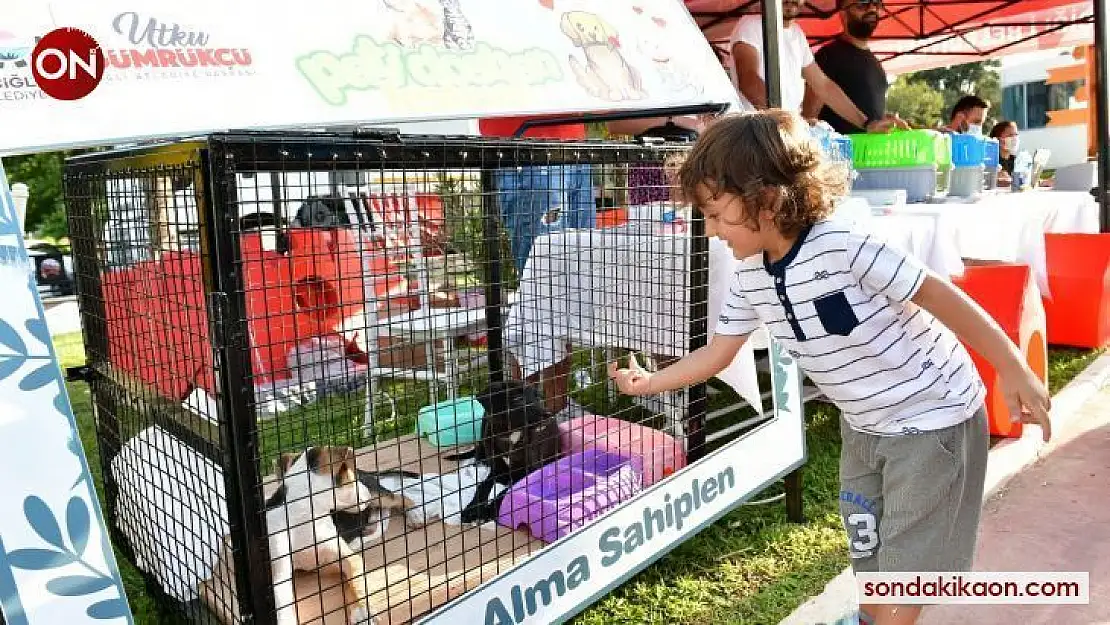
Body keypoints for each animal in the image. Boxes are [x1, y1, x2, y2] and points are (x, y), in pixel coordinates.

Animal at [264, 448, 417, 621]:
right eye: (352, 477)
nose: (364, 489)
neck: (303, 514)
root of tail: (364, 471)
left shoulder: (349, 558)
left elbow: (356, 583)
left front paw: (363, 611)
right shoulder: (279, 577)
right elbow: (283, 608)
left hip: (378, 496)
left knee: (401, 498)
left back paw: (415, 515)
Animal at [444, 381, 563, 523]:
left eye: (538, 397)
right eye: (518, 399)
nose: (548, 414)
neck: (510, 435)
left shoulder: (527, 471)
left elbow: (506, 491)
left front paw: (489, 510)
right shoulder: (497, 470)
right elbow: (483, 485)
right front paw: (471, 509)